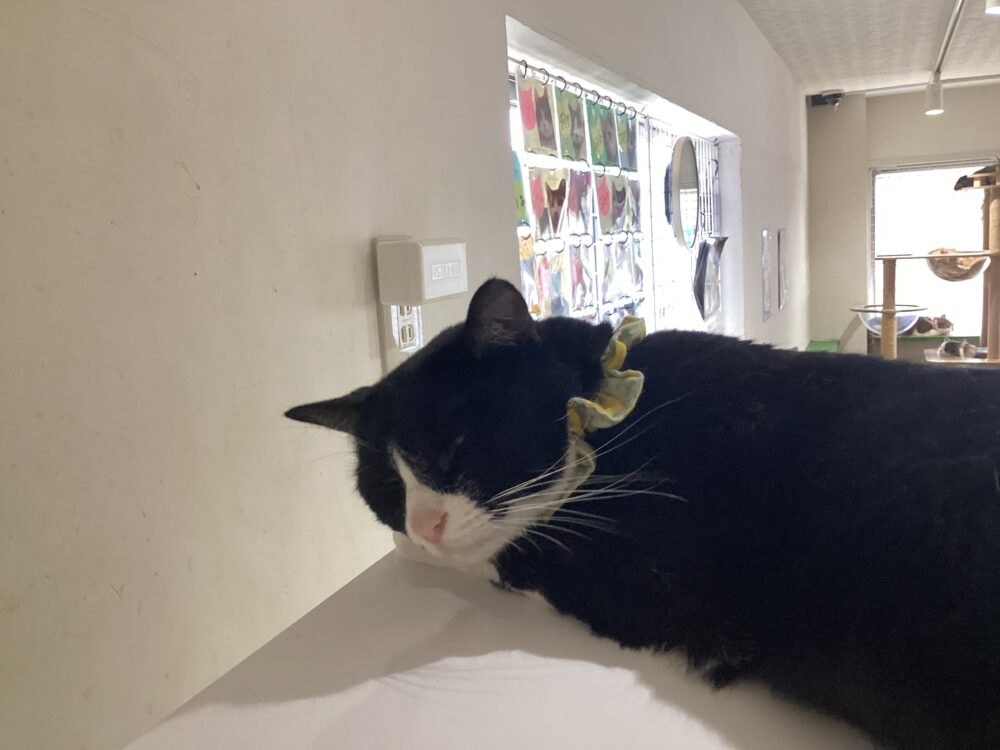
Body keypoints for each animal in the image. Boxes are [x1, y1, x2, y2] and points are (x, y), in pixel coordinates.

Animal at [287, 278, 1000, 750]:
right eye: (385, 484)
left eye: (454, 445)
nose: (424, 525)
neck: (616, 421)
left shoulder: (642, 572)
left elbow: (506, 552)